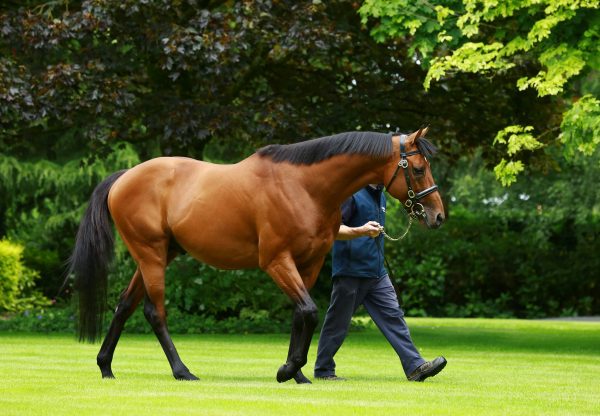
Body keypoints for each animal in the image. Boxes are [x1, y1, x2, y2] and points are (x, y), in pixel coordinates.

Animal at [69, 127, 446, 384]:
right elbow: (309, 310)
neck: (305, 186)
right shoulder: (276, 261)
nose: (438, 216)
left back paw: (105, 367)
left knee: (124, 304)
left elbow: (301, 314)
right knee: (153, 311)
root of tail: (124, 177)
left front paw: (297, 374)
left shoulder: (309, 264)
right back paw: (182, 371)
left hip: (158, 255)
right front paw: (287, 370)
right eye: (416, 168)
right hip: (151, 254)